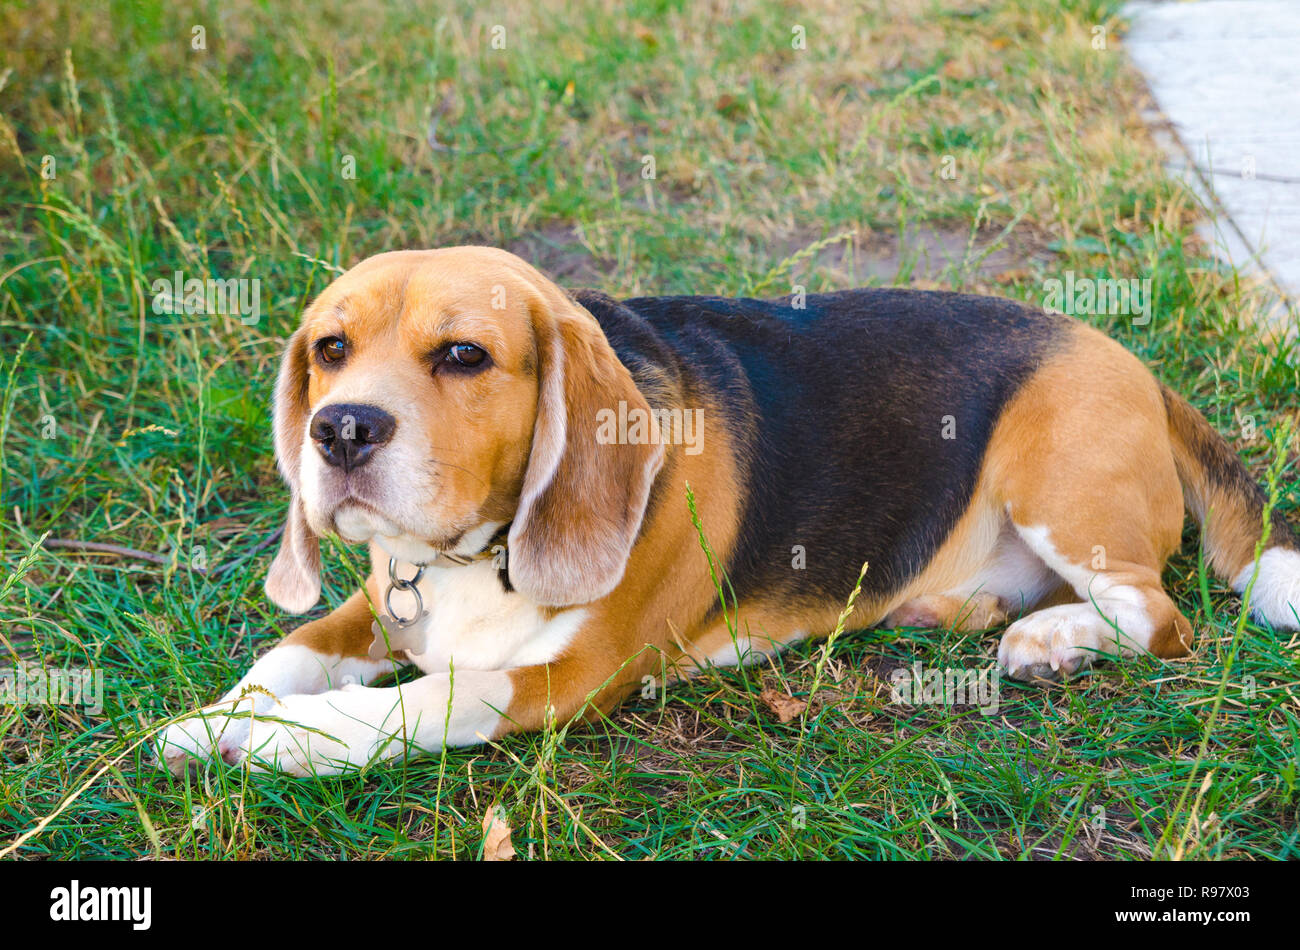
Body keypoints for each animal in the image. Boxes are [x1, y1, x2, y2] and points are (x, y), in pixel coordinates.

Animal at [159, 249, 1300, 774]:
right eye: (329, 348)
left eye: (463, 355)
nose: (341, 431)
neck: (464, 559)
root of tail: (1135, 365)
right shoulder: (376, 605)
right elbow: (285, 653)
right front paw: (213, 718)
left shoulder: (557, 679)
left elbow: (394, 707)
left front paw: (265, 740)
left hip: (1054, 467)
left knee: (1161, 618)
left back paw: (1053, 644)